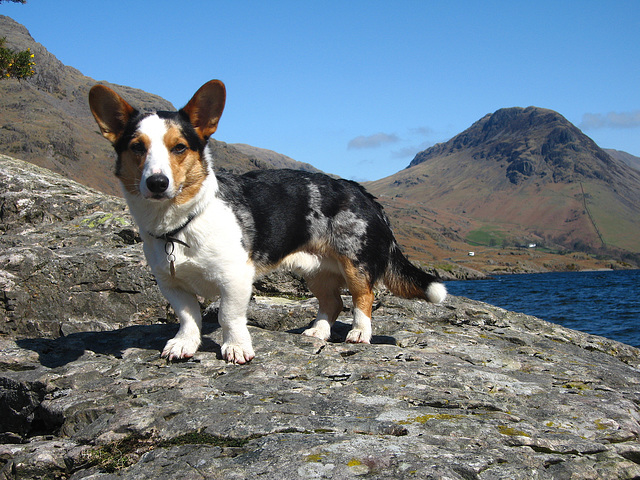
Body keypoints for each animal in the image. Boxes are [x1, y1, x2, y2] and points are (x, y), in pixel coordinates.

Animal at [89, 79, 444, 364]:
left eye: (179, 147)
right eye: (137, 147)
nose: (157, 183)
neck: (181, 223)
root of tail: (363, 192)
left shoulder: (234, 279)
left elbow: (229, 316)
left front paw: (235, 349)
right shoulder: (172, 284)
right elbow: (189, 317)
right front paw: (183, 345)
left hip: (355, 264)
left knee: (363, 298)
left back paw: (359, 334)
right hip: (315, 271)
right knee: (332, 302)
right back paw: (317, 332)